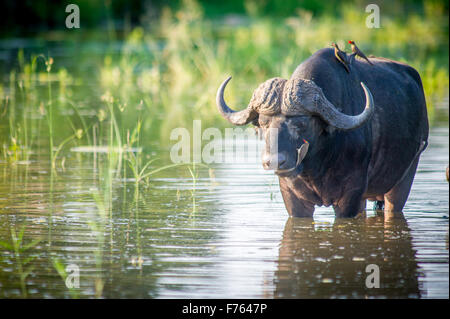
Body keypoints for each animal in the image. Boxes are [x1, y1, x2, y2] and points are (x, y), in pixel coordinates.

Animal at [217, 47, 428, 218]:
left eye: (301, 122)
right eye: (262, 123)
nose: (275, 161)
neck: (317, 166)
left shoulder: (351, 196)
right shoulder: (292, 197)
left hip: (407, 174)